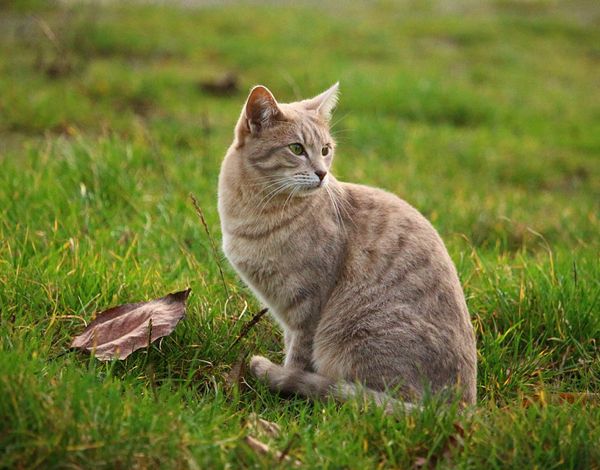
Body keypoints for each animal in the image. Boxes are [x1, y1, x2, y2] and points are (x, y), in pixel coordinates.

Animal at [218, 82, 476, 410]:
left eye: (325, 150)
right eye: (297, 149)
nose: (322, 173)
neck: (255, 211)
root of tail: (457, 409)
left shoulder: (308, 308)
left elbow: (298, 358)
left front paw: (284, 386)